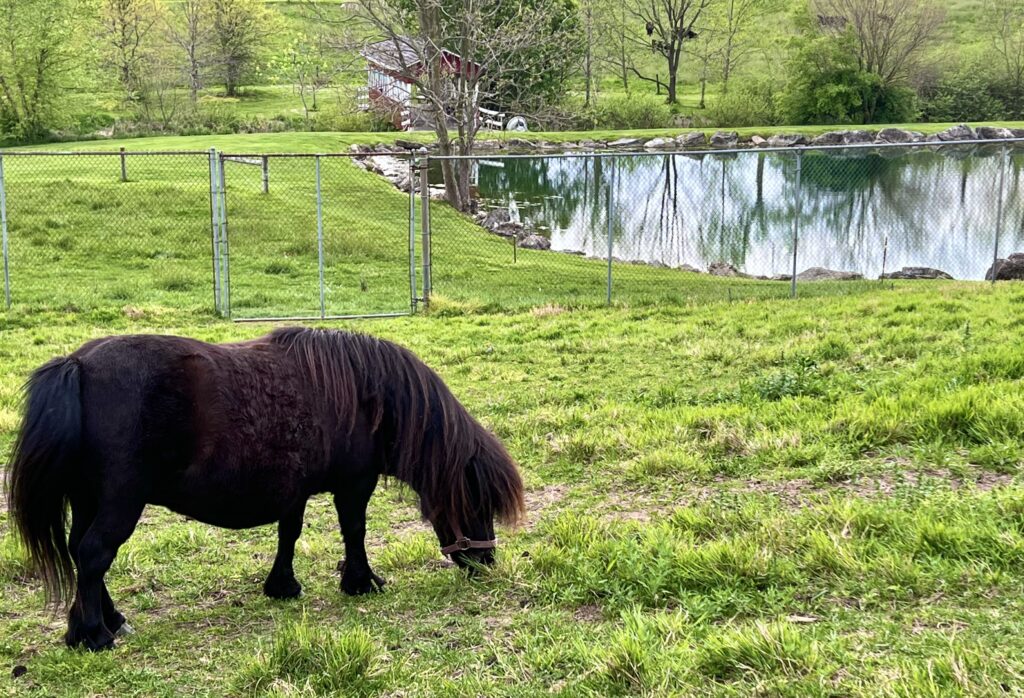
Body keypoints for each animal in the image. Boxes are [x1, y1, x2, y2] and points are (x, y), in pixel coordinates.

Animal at [4, 329, 524, 650]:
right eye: (477, 501)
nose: (485, 561)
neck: (366, 395)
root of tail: (77, 365)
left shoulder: (295, 490)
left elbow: (288, 535)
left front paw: (282, 586)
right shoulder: (355, 484)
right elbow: (354, 531)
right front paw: (361, 582)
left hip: (89, 498)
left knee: (80, 551)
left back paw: (105, 621)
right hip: (119, 502)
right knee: (93, 554)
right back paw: (94, 634)